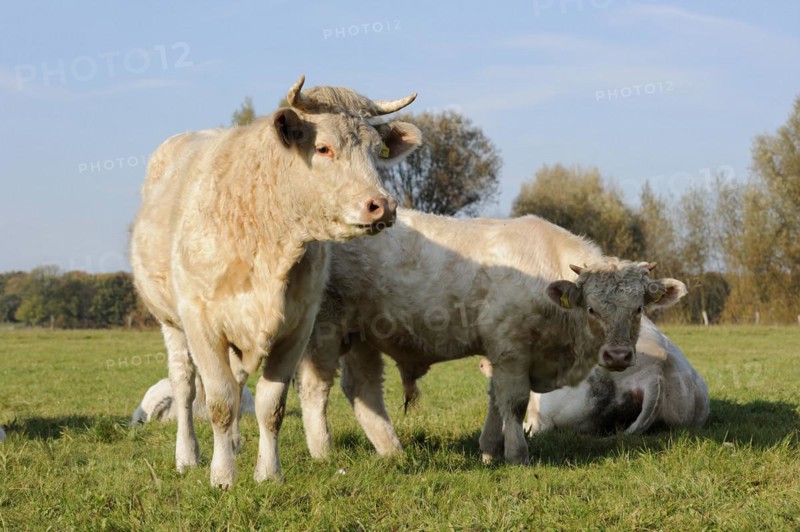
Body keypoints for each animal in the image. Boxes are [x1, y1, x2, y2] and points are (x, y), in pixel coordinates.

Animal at [129, 76, 421, 487]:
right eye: (323, 147)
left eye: (375, 150)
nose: (382, 206)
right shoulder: (202, 325)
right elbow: (219, 402)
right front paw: (223, 476)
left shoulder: (296, 328)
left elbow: (271, 405)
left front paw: (268, 473)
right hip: (170, 322)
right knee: (185, 386)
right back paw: (188, 456)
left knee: (238, 382)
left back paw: (234, 444)